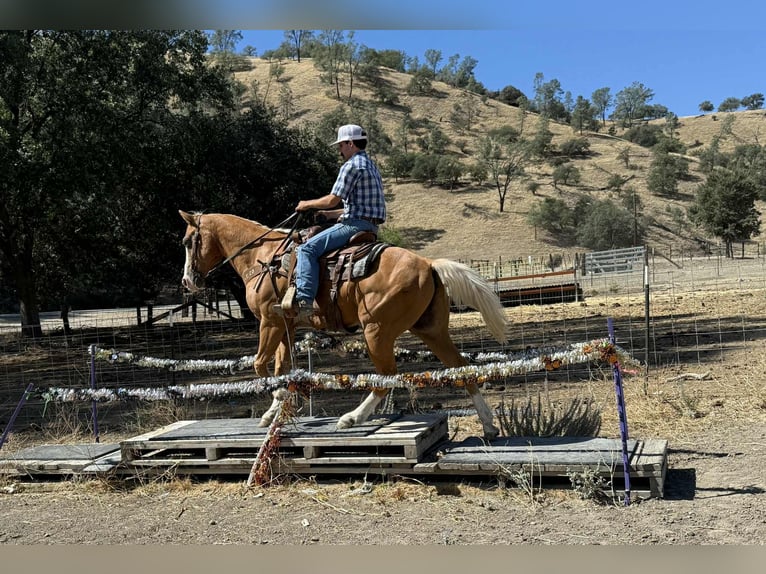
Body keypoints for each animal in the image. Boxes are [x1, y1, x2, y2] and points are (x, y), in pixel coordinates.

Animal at [179, 210, 509, 439]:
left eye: (188, 241)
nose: (187, 281)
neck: (264, 258)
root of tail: (428, 265)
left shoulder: (269, 323)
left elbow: (261, 366)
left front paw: (279, 402)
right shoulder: (286, 326)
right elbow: (281, 368)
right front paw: (278, 411)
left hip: (376, 330)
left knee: (386, 376)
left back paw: (352, 418)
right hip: (430, 330)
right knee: (460, 368)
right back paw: (489, 425)